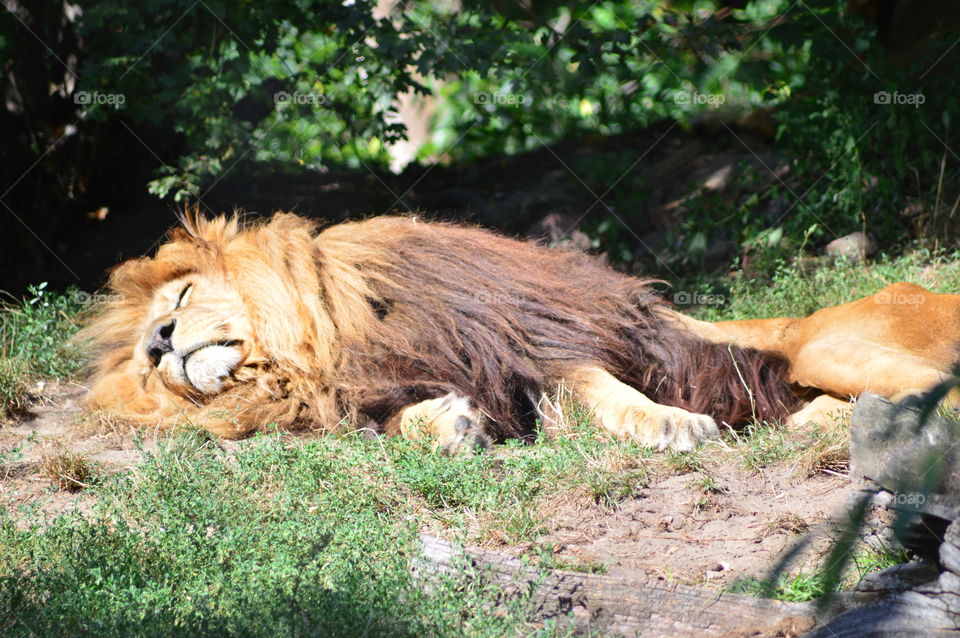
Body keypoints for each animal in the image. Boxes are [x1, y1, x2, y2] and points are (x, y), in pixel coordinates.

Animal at [82, 212, 960, 452]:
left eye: (181, 294)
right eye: (146, 368)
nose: (160, 342)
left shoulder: (524, 335)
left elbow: (600, 386)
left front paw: (671, 424)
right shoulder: (379, 386)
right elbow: (399, 420)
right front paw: (448, 426)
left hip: (827, 343)